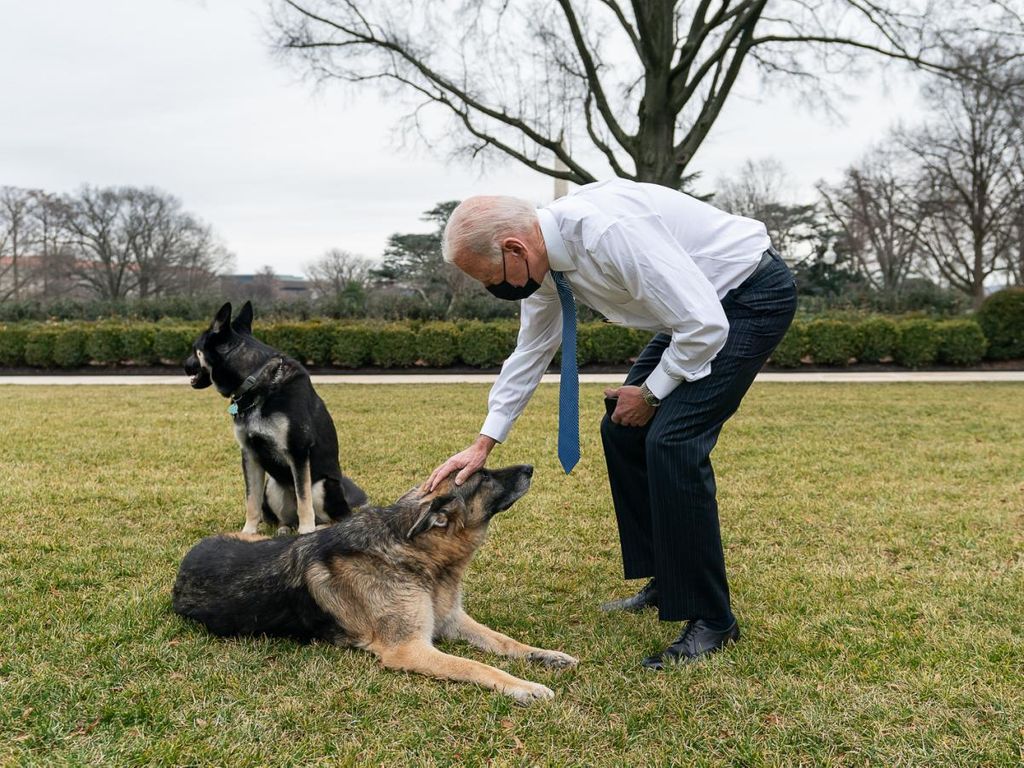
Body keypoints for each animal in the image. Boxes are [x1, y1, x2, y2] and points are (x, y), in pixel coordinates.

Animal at [172, 466, 581, 708]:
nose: (529, 468)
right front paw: (524, 686)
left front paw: (546, 655)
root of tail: (184, 566)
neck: (414, 551)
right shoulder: (409, 649)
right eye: (483, 478)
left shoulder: (451, 620)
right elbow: (476, 666)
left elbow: (505, 642)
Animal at [184, 301, 368, 536]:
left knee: (336, 517)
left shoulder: (298, 452)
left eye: (194, 349)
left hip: (322, 486)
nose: (184, 365)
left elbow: (304, 500)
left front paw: (306, 533)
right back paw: (284, 529)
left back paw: (316, 527)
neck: (255, 381)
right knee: (286, 518)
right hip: (272, 486)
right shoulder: (250, 454)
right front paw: (248, 533)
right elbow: (251, 501)